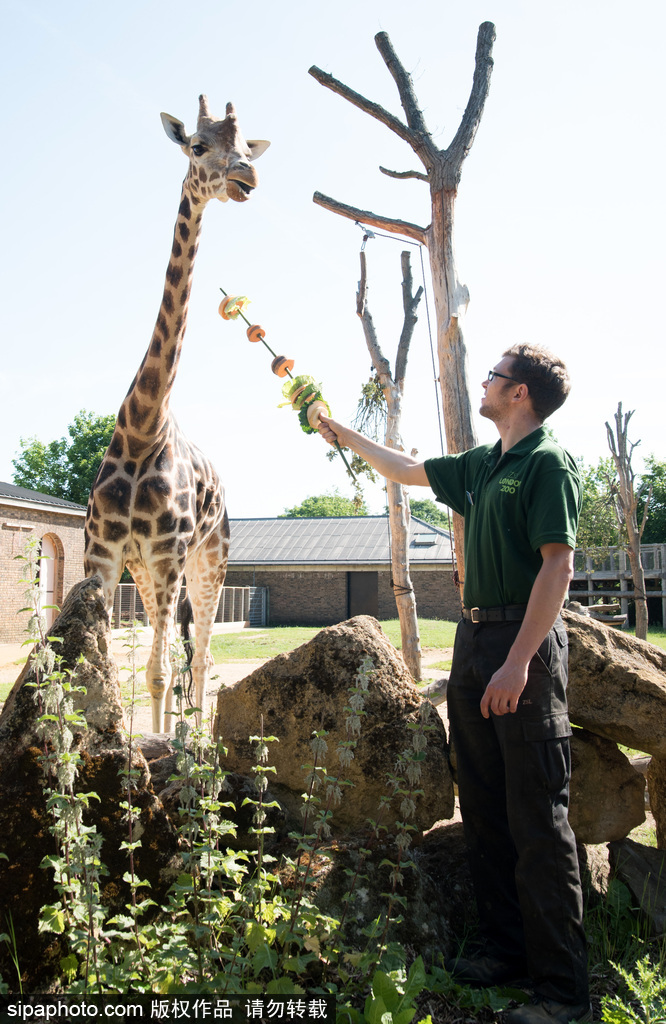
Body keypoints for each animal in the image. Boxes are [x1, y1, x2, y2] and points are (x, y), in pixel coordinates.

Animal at [85, 96, 266, 733]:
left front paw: (165, 750)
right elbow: (100, 670)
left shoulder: (168, 556)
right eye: (197, 146)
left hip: (208, 562)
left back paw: (197, 741)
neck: (142, 428)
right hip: (147, 570)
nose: (246, 177)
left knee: (202, 654)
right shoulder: (104, 554)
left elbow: (160, 672)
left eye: (245, 146)